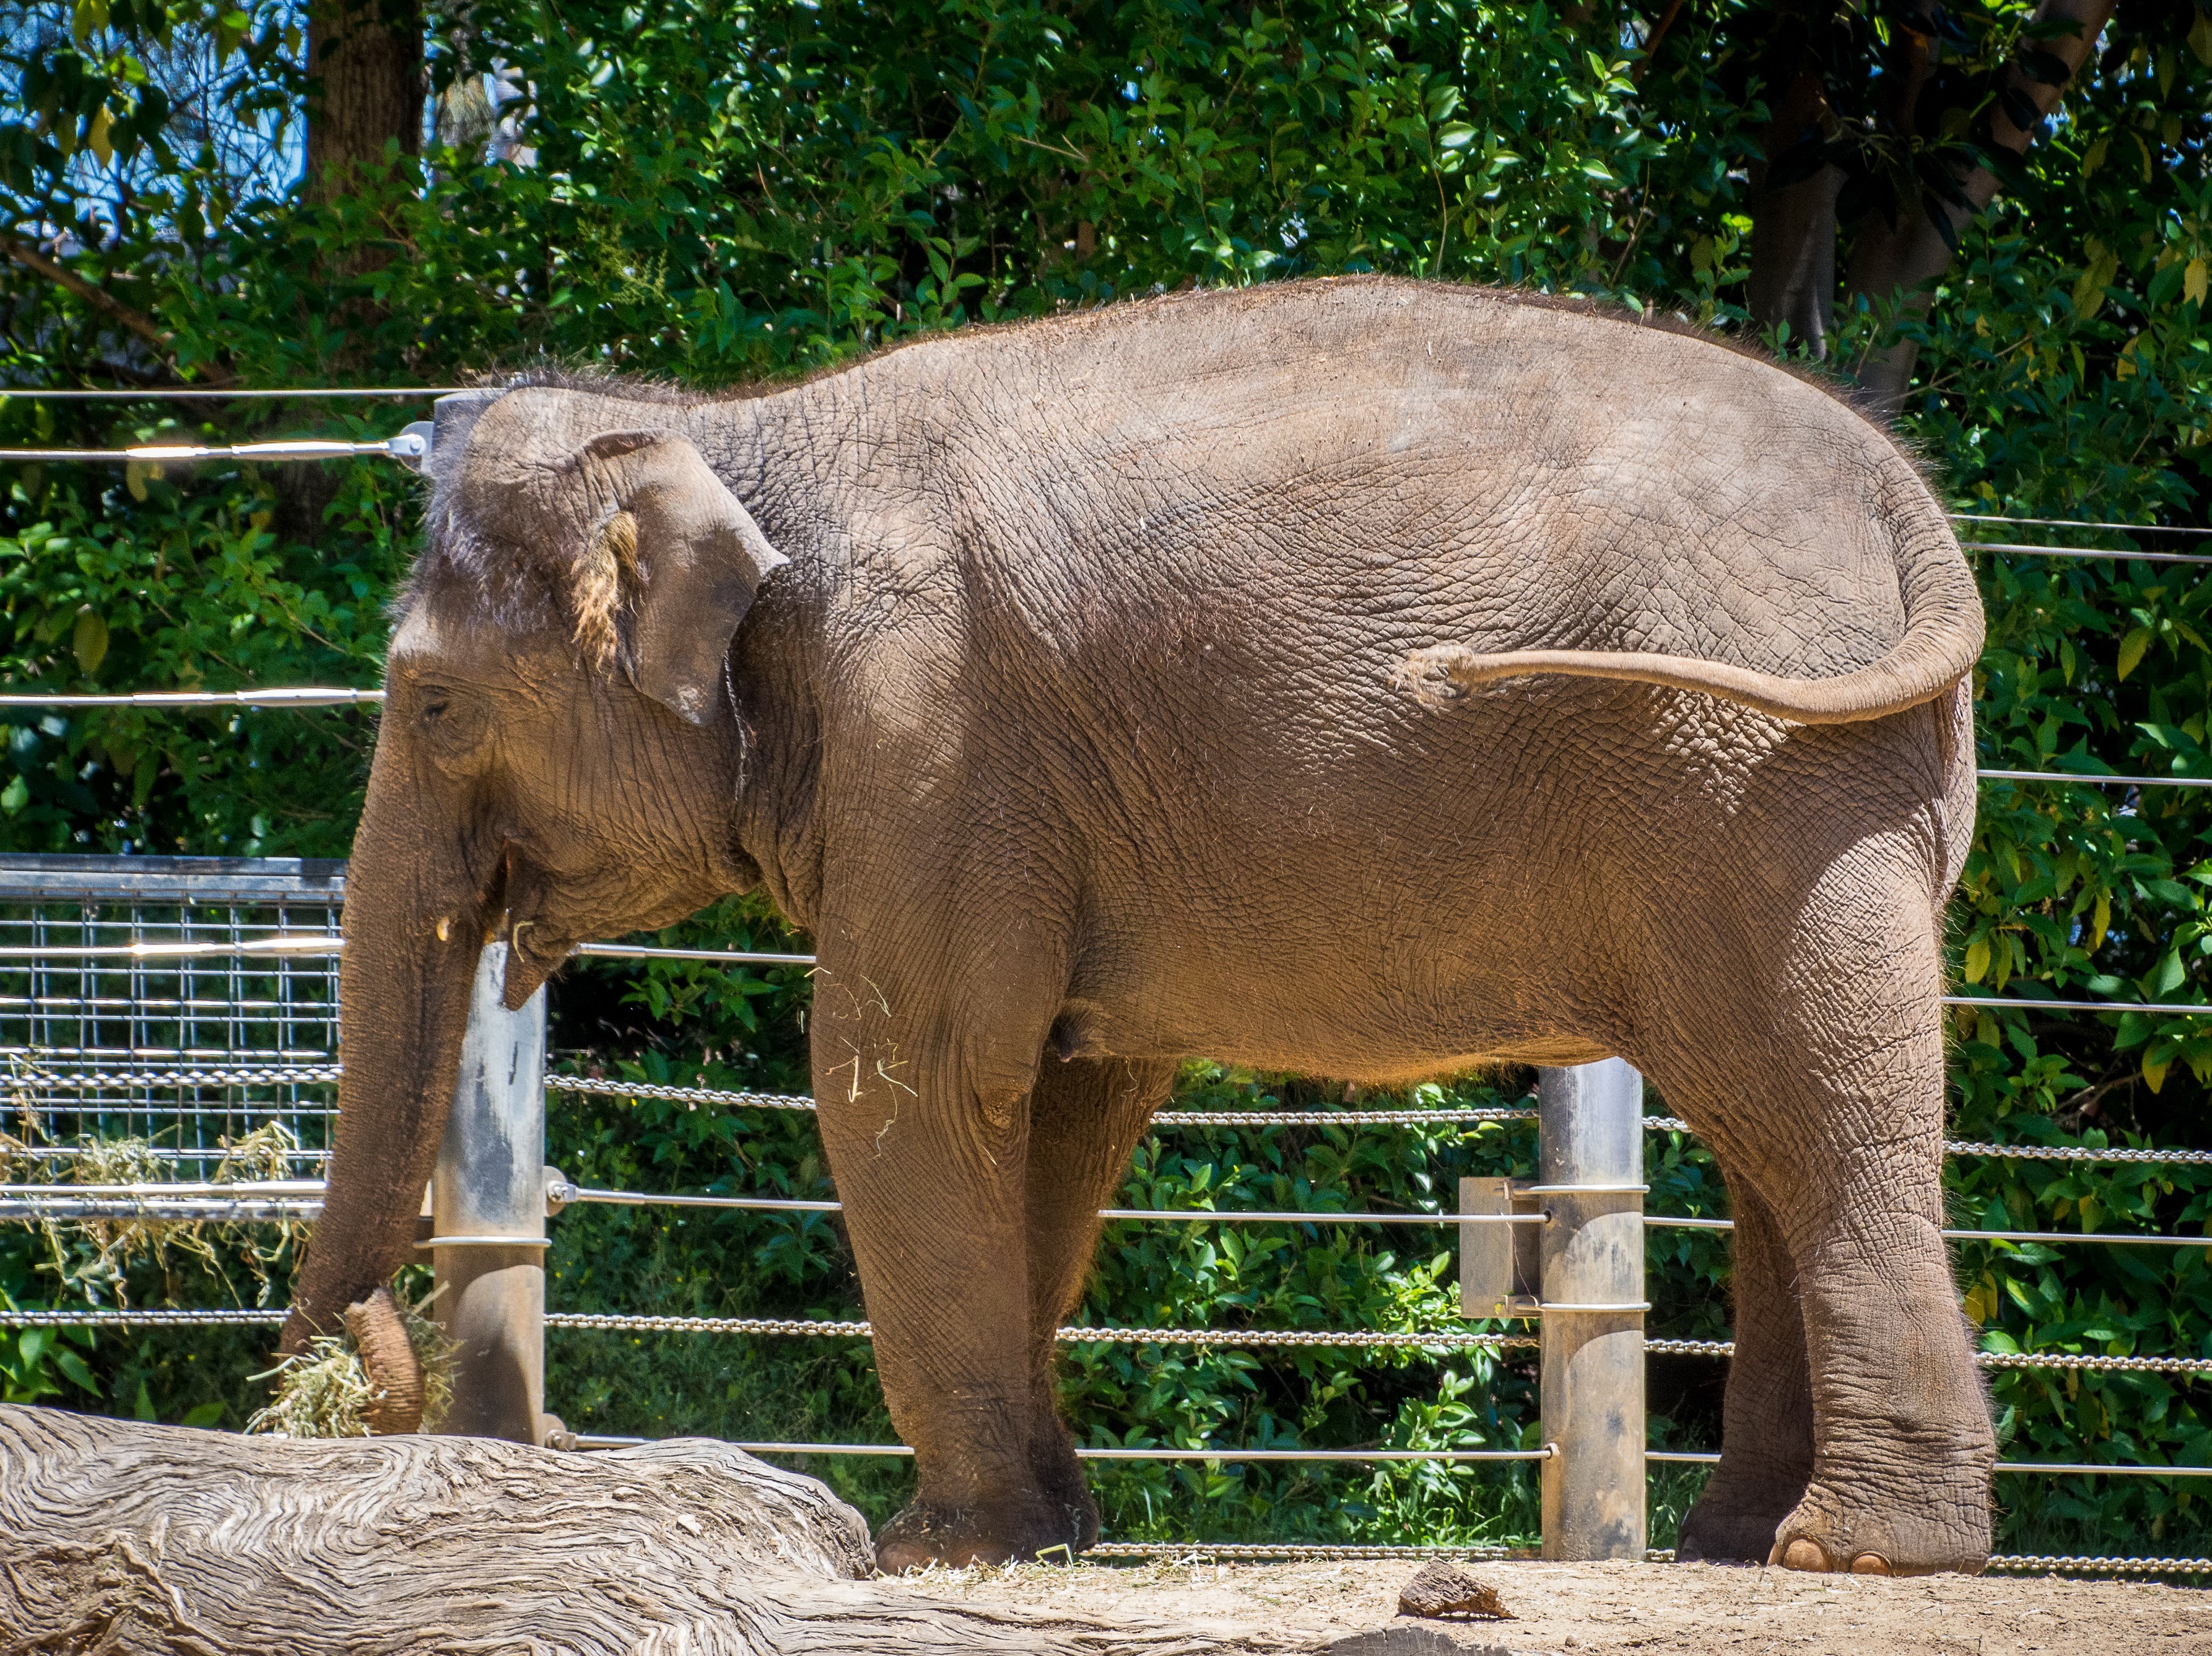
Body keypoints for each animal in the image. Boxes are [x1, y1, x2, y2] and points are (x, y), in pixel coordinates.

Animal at [283, 276, 1991, 1577]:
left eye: (430, 705)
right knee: (1771, 1129)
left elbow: (906, 1081)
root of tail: (1904, 497)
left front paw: (939, 1546)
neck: (742, 428)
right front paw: (1043, 1528)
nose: (360, 1377)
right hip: (1817, 780)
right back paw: (1740, 1542)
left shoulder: (931, 736)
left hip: (1762, 779)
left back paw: (1853, 1552)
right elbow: (1058, 1102)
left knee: (1816, 1115)